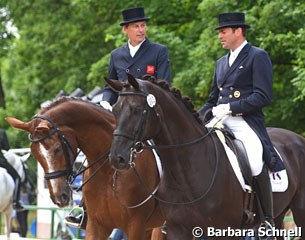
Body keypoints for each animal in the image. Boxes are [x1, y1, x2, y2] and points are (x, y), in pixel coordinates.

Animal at [5, 97, 165, 240]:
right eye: (35, 154)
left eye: (57, 149)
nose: (59, 197)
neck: (109, 172)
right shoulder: (96, 225)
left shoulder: (136, 226)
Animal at [105, 75, 304, 240]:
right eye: (115, 110)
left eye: (136, 109)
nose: (117, 158)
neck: (187, 169)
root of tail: (297, 138)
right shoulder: (178, 229)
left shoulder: (224, 231)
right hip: (279, 215)